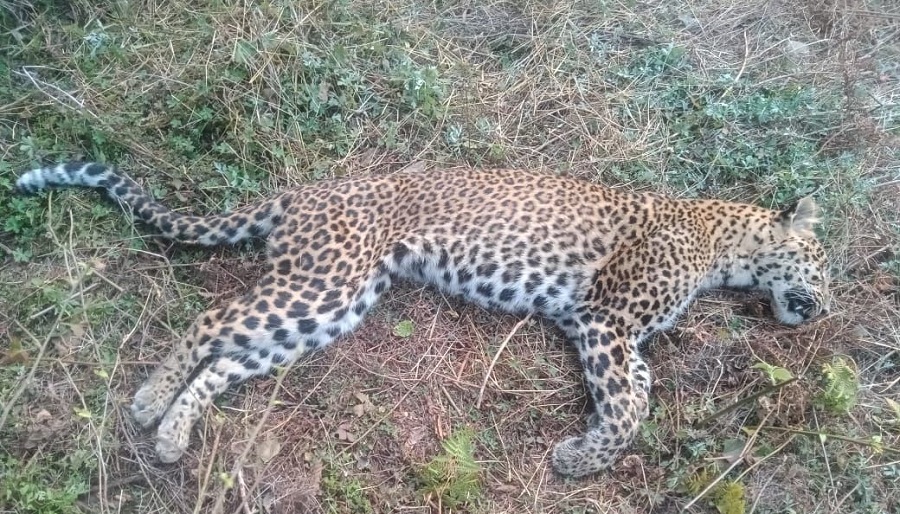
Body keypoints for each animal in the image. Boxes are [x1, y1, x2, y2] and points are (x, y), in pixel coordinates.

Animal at [15, 161, 831, 477]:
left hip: (331, 308)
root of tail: (306, 192)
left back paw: (173, 434)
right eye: (822, 268)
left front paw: (591, 443)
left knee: (229, 355)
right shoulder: (602, 320)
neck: (722, 245)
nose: (824, 306)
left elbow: (640, 390)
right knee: (213, 317)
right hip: (321, 282)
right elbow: (629, 410)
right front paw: (580, 458)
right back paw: (149, 401)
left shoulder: (615, 336)